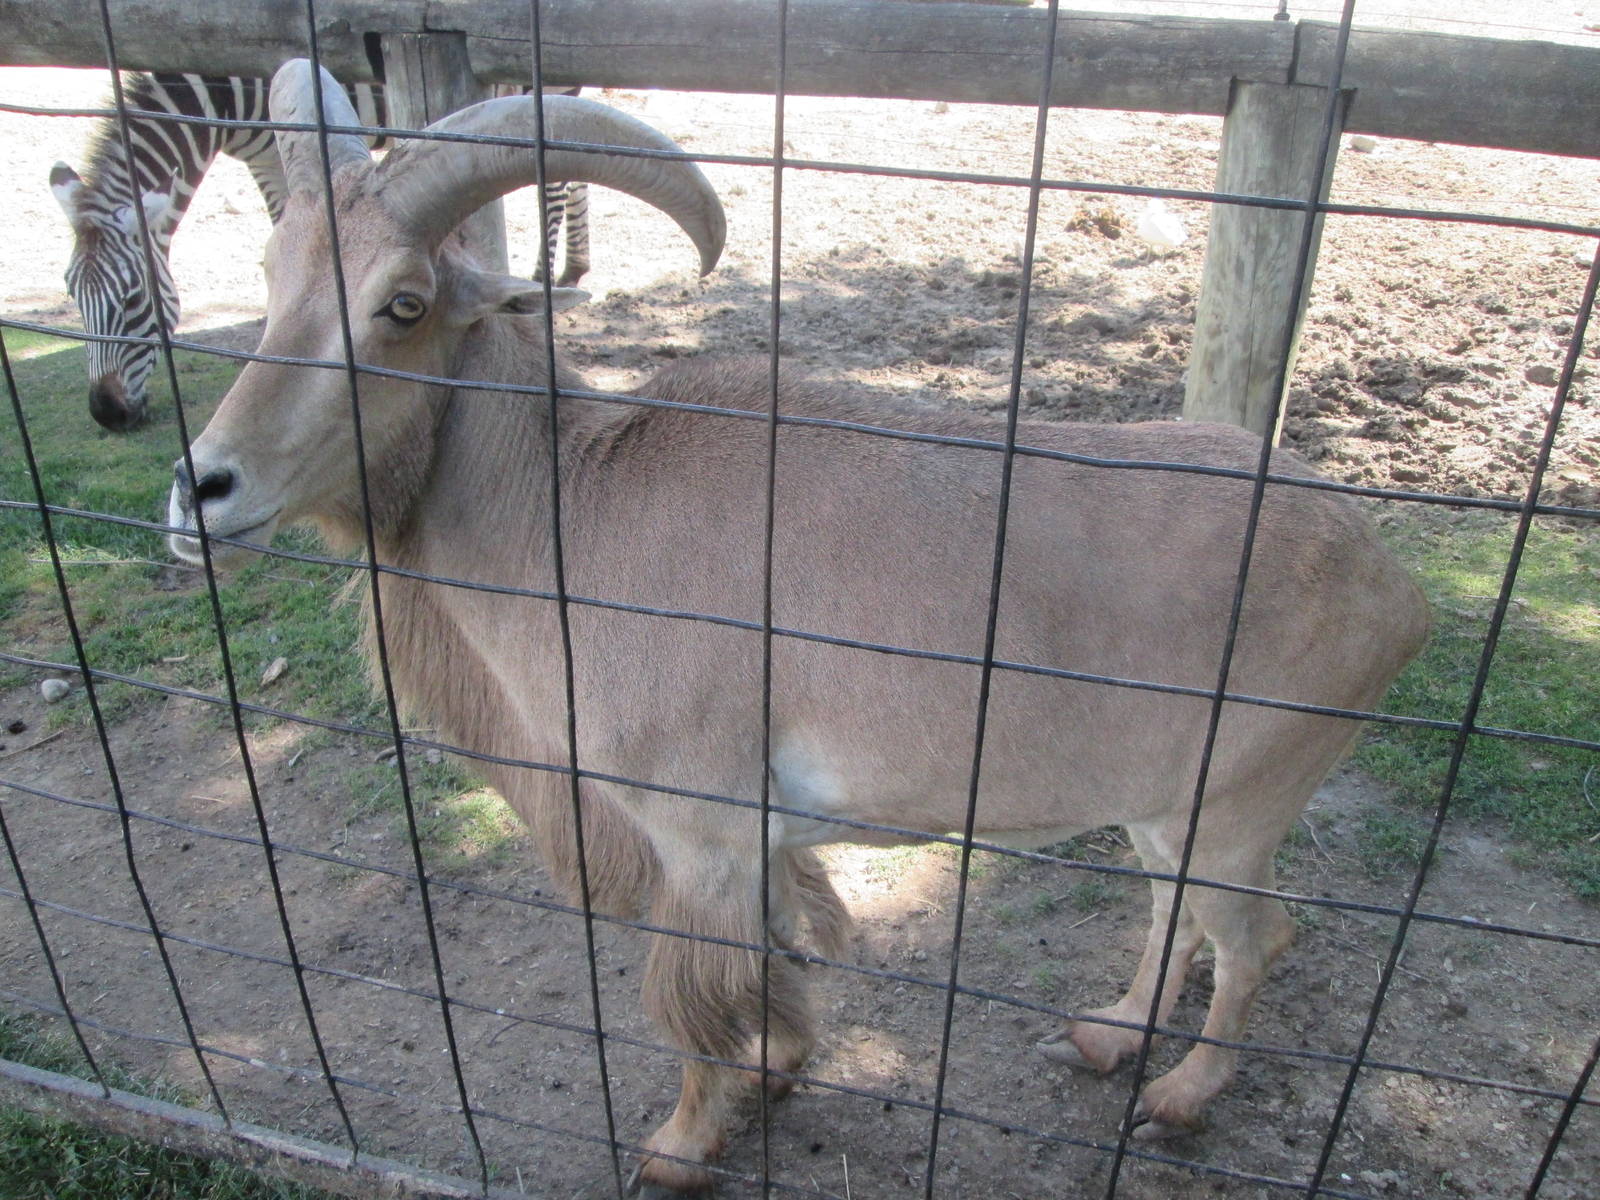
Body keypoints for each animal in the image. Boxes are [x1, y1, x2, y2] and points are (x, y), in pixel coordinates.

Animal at [50, 71, 590, 432]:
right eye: (71, 294)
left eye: (133, 300)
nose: (108, 413)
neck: (220, 93)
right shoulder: (262, 153)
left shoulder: (270, 145)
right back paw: (575, 267)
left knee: (555, 183)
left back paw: (548, 275)